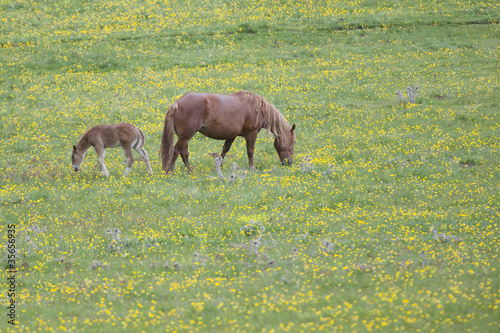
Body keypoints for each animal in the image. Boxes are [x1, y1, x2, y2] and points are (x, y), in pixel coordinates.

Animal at [160, 91, 294, 174]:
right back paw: (170, 171)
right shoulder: (251, 134)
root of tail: (177, 103)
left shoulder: (231, 135)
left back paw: (189, 171)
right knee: (176, 151)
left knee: (184, 153)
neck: (257, 108)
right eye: (293, 143)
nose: (289, 163)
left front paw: (219, 166)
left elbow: (224, 150)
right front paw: (252, 168)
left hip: (184, 137)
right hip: (185, 136)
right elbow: (250, 151)